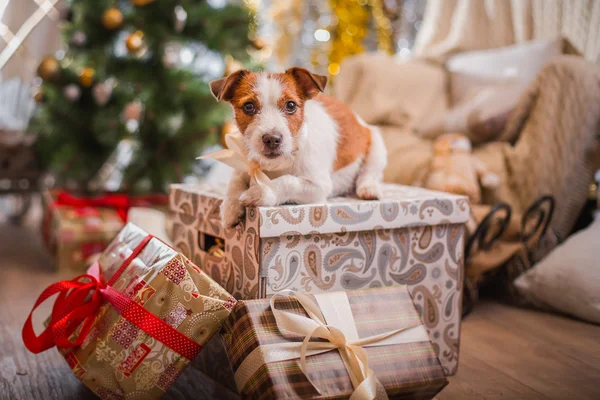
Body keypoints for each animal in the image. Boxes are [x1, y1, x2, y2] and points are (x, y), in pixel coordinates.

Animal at [211, 67, 386, 227]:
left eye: (290, 105)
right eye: (249, 106)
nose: (272, 139)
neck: (275, 165)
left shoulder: (319, 186)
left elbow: (287, 181)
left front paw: (262, 191)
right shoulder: (242, 163)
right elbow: (235, 182)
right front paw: (229, 208)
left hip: (376, 144)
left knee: (370, 173)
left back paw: (368, 188)